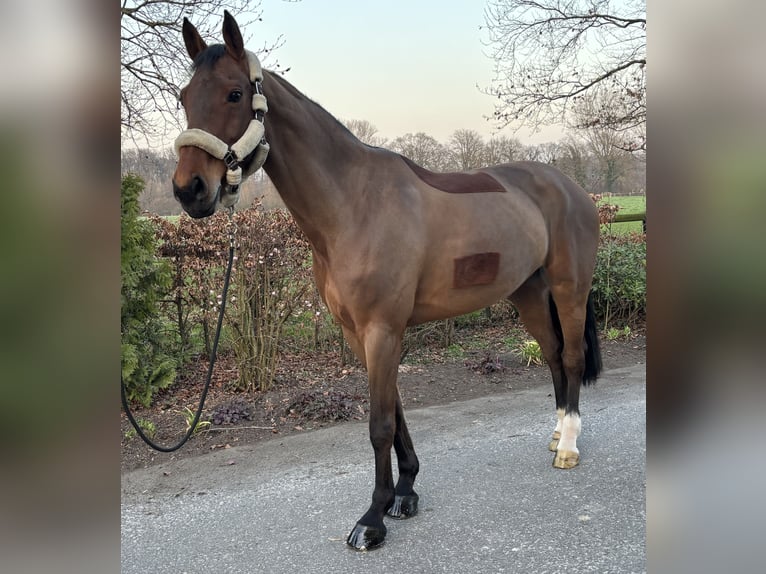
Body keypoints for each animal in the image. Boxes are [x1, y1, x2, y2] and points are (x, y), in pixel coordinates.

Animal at [172, 11, 602, 551]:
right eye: (184, 96)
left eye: (233, 94)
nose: (189, 190)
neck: (352, 204)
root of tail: (570, 187)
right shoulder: (361, 333)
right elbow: (394, 413)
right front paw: (406, 492)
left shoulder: (383, 328)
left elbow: (379, 424)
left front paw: (373, 518)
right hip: (527, 292)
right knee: (552, 355)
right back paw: (557, 432)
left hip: (569, 288)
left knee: (572, 356)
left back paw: (569, 446)